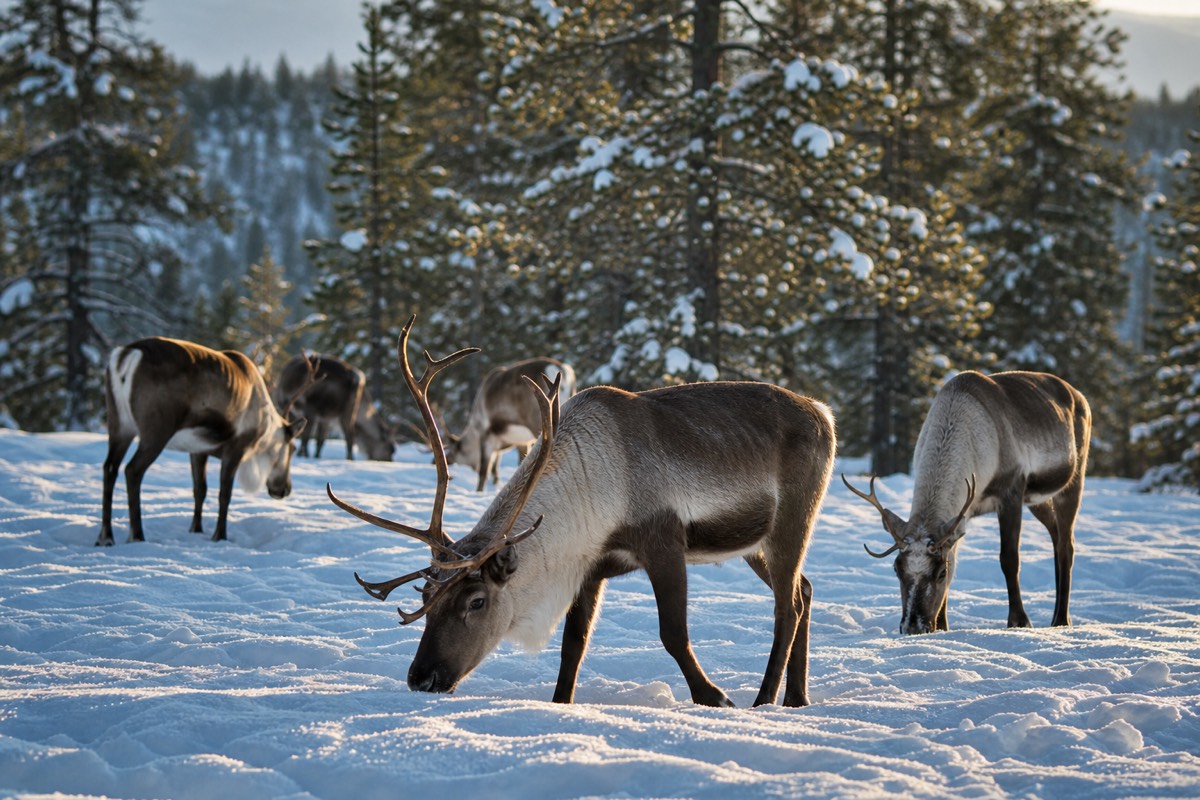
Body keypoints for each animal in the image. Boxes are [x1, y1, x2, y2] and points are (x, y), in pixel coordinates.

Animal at [96, 337, 313, 546]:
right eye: (292, 448)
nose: (285, 489)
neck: (264, 429)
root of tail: (127, 353)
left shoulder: (198, 450)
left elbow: (200, 489)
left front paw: (196, 529)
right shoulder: (236, 448)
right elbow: (224, 494)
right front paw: (220, 536)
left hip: (120, 425)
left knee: (110, 468)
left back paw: (106, 538)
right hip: (156, 432)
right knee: (132, 470)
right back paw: (137, 535)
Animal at [447, 357, 576, 491]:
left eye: (455, 450)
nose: (446, 460)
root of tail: (560, 368)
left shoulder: (486, 434)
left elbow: (484, 471)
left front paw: (479, 492)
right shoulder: (521, 442)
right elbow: (507, 465)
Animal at [843, 370, 1091, 636]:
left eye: (940, 572)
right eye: (896, 569)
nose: (913, 626)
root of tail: (1078, 394)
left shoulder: (1011, 492)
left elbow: (1009, 559)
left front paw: (1019, 621)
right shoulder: (962, 514)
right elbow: (955, 559)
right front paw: (943, 625)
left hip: (1073, 479)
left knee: (1066, 544)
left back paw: (1061, 619)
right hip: (1037, 500)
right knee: (1056, 534)